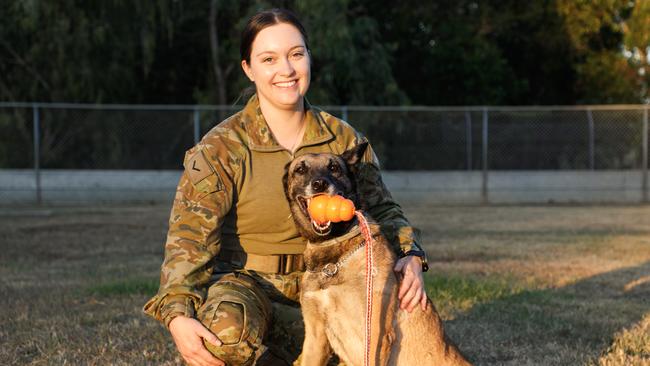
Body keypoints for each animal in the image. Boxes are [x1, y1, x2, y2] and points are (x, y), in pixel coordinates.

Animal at [280, 143, 468, 366]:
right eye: (300, 169)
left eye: (334, 168)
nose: (319, 184)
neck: (333, 261)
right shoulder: (315, 337)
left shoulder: (375, 335)